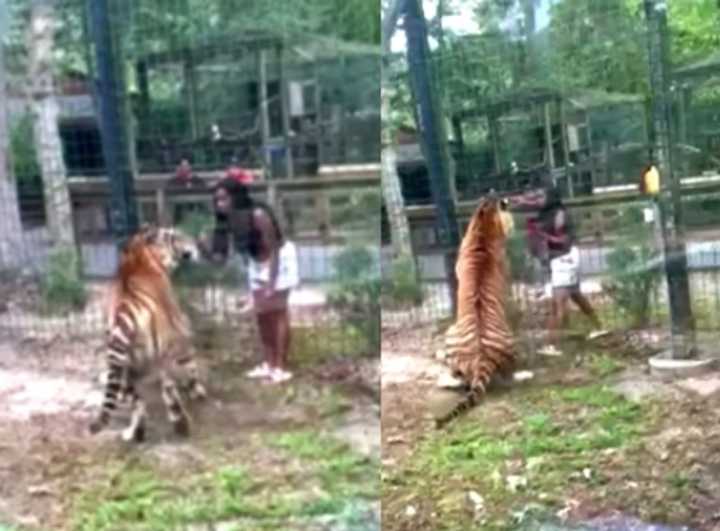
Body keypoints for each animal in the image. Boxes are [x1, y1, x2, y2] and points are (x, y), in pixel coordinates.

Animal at [89, 225, 207, 444]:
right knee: (169, 389)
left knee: (139, 402)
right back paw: (182, 424)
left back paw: (135, 432)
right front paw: (197, 389)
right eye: (176, 237)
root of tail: (126, 310)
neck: (139, 251)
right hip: (165, 348)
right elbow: (191, 365)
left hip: (121, 364)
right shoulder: (180, 328)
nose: (196, 244)